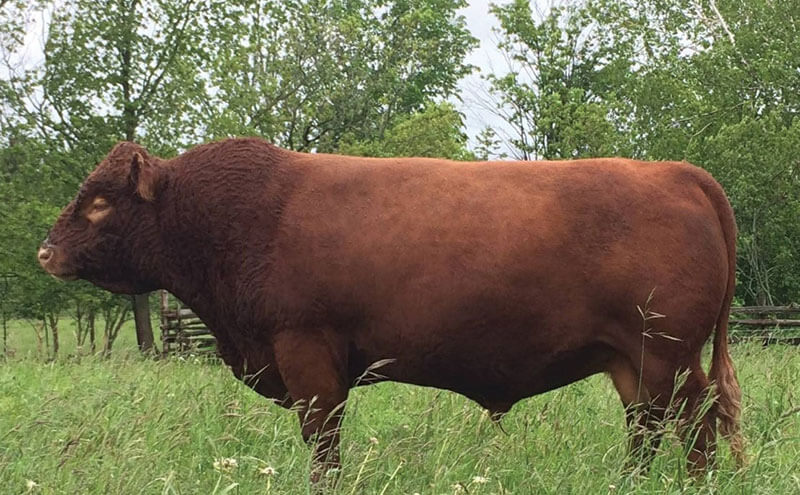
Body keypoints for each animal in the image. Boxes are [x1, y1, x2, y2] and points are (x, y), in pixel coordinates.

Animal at [38, 138, 744, 482]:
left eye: (99, 201)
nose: (45, 251)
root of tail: (677, 173)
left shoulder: (307, 352)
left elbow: (323, 442)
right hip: (631, 360)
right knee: (647, 429)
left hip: (669, 355)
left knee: (696, 427)